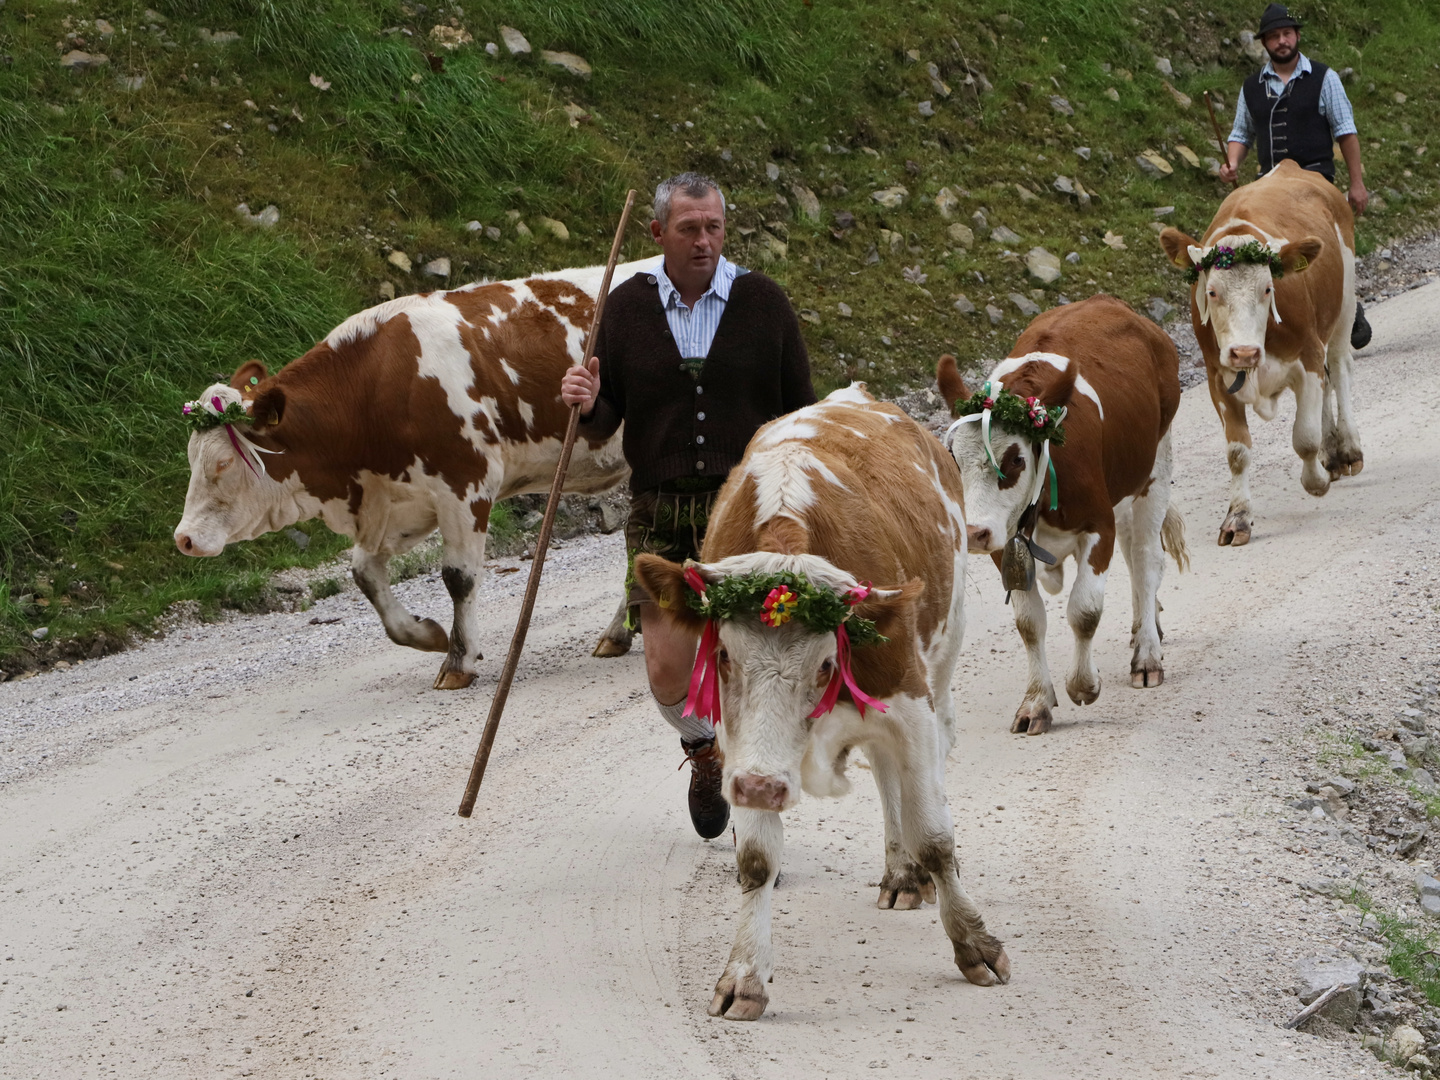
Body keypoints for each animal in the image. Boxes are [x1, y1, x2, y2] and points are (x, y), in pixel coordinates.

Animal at [168, 262, 642, 688]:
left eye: (223, 464)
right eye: (191, 458)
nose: (183, 538)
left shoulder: (466, 483)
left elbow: (458, 576)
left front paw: (458, 661)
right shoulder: (398, 499)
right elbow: (364, 574)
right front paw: (427, 634)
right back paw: (620, 632)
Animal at [636, 385, 1008, 1025]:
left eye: (827, 665)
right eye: (725, 655)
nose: (760, 788)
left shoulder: (909, 702)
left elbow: (937, 835)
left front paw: (974, 944)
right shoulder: (741, 743)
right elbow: (757, 858)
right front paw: (744, 977)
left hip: (943, 654)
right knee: (884, 774)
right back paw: (900, 873)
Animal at [933, 293, 1192, 737]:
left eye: (1015, 459)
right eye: (954, 458)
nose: (974, 532)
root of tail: (1109, 301)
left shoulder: (1098, 525)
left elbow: (1085, 610)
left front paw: (1083, 685)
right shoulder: (1007, 544)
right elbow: (1029, 623)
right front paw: (1036, 702)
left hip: (1155, 468)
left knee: (1145, 561)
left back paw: (1147, 655)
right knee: (1134, 557)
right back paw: (1144, 629)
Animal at [1157, 158, 1359, 550]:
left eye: (1268, 288)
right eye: (1212, 291)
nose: (1244, 352)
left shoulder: (1308, 355)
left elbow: (1305, 437)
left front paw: (1315, 482)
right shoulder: (1217, 377)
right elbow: (1238, 453)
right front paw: (1237, 518)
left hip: (1345, 303)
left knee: (1339, 368)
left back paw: (1348, 450)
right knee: (1327, 385)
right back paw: (1332, 456)